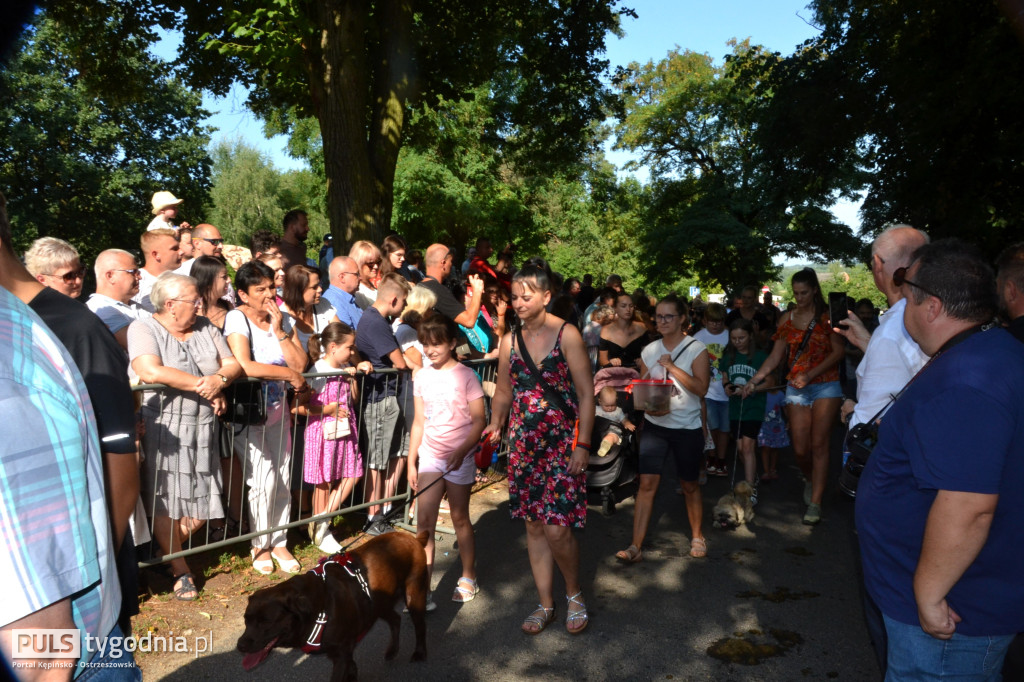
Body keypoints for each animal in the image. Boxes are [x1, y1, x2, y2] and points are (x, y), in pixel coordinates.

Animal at [235, 528, 428, 675]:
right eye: (245, 620)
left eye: (266, 622)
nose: (240, 646)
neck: (317, 607)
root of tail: (413, 538)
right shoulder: (343, 657)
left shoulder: (342, 657)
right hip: (379, 604)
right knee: (396, 619)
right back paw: (392, 651)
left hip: (414, 594)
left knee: (419, 626)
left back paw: (419, 653)